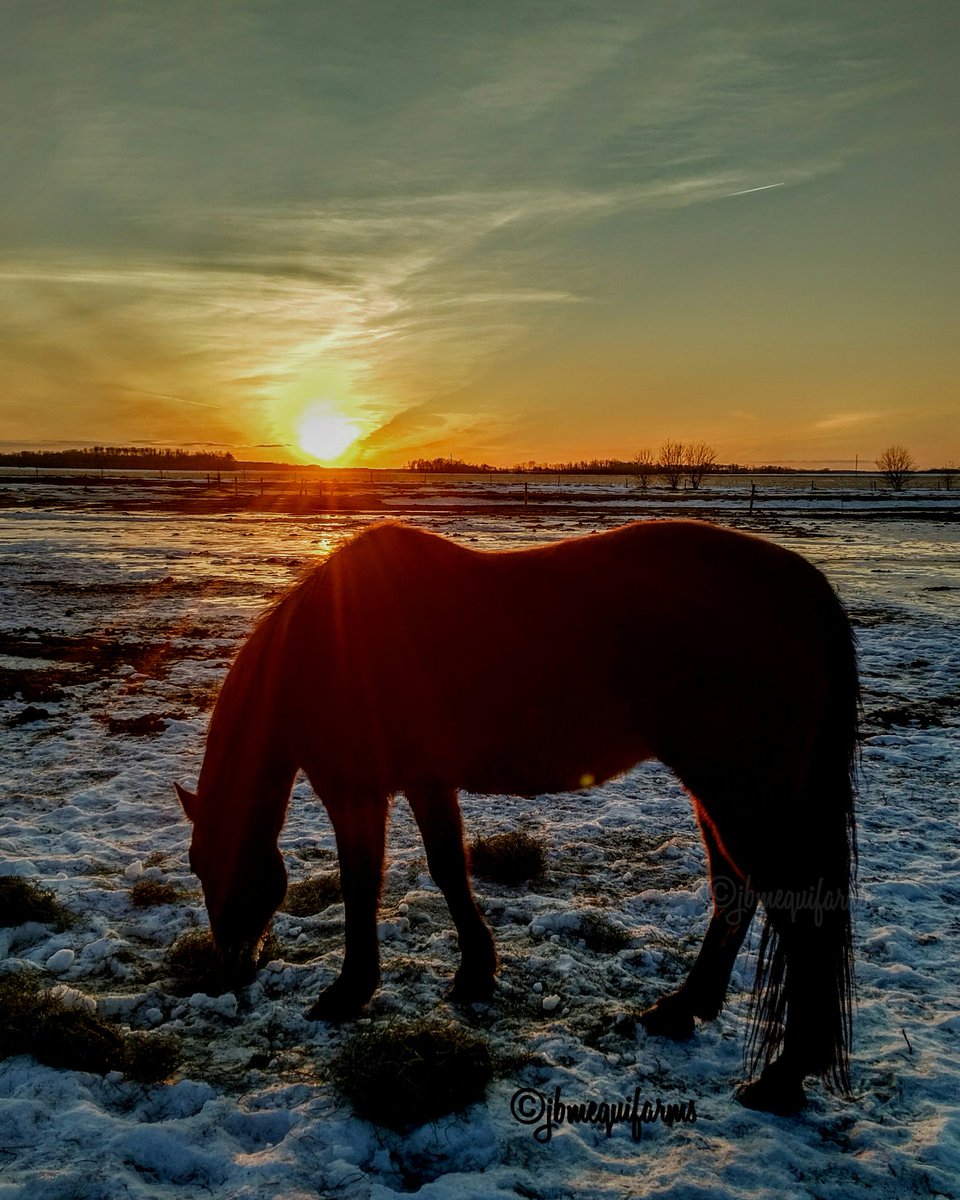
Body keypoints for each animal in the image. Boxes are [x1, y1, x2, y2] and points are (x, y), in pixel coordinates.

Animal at [176, 519, 858, 1114]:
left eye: (209, 863)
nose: (230, 965)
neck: (322, 646)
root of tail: (806, 588)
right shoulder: (426, 781)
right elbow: (449, 868)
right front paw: (476, 973)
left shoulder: (356, 792)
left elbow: (361, 885)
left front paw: (349, 992)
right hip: (719, 792)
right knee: (733, 890)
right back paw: (682, 1010)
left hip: (740, 790)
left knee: (799, 913)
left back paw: (783, 1076)